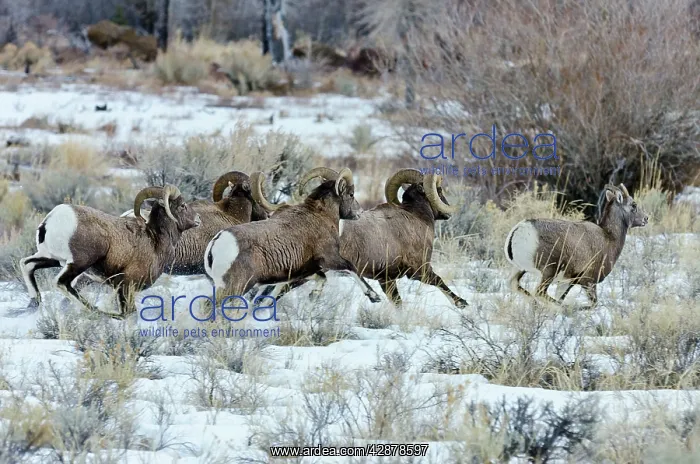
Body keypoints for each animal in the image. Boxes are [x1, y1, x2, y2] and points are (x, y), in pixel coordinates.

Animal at [20, 185, 201, 317]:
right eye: (183, 206)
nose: (198, 219)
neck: (155, 239)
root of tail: (51, 220)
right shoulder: (127, 286)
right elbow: (129, 313)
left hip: (53, 258)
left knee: (27, 264)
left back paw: (34, 302)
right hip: (79, 263)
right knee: (61, 283)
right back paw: (95, 311)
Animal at [203, 167, 382, 306]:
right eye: (351, 194)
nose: (359, 213)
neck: (320, 215)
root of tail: (216, 244)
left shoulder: (305, 270)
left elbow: (321, 279)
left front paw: (313, 296)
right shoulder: (330, 258)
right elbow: (351, 267)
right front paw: (374, 296)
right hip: (234, 287)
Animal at [266, 168, 468, 308]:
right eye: (439, 189)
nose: (447, 214)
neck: (416, 217)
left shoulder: (387, 280)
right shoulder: (420, 270)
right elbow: (440, 282)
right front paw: (462, 303)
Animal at [504, 183, 648, 306]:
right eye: (633, 205)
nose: (646, 219)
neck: (609, 238)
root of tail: (521, 229)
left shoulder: (566, 282)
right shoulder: (588, 282)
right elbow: (592, 305)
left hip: (519, 269)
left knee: (516, 286)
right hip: (548, 272)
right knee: (541, 294)